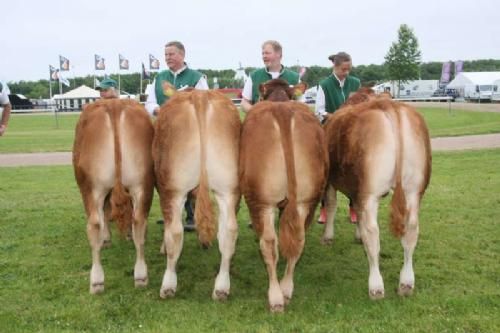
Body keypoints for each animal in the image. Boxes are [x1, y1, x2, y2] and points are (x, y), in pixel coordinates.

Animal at [73, 98, 154, 294]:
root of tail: (114, 105)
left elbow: (104, 213)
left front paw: (107, 239)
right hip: (143, 184)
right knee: (139, 222)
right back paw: (141, 276)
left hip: (91, 188)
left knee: (94, 223)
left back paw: (96, 281)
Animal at [153, 89, 241, 300]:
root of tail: (200, 95)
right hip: (228, 188)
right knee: (229, 231)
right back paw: (221, 288)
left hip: (173, 188)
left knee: (175, 232)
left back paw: (168, 285)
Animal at [239, 78, 328, 312]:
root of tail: (282, 111)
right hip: (307, 199)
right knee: (298, 239)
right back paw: (287, 289)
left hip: (261, 200)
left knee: (269, 243)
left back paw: (276, 296)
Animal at [322, 89, 432, 300]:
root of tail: (389, 106)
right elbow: (354, 210)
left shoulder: (332, 182)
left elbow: (332, 206)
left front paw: (328, 237)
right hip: (414, 190)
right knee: (411, 230)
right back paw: (406, 283)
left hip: (370, 192)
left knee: (373, 233)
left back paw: (376, 287)